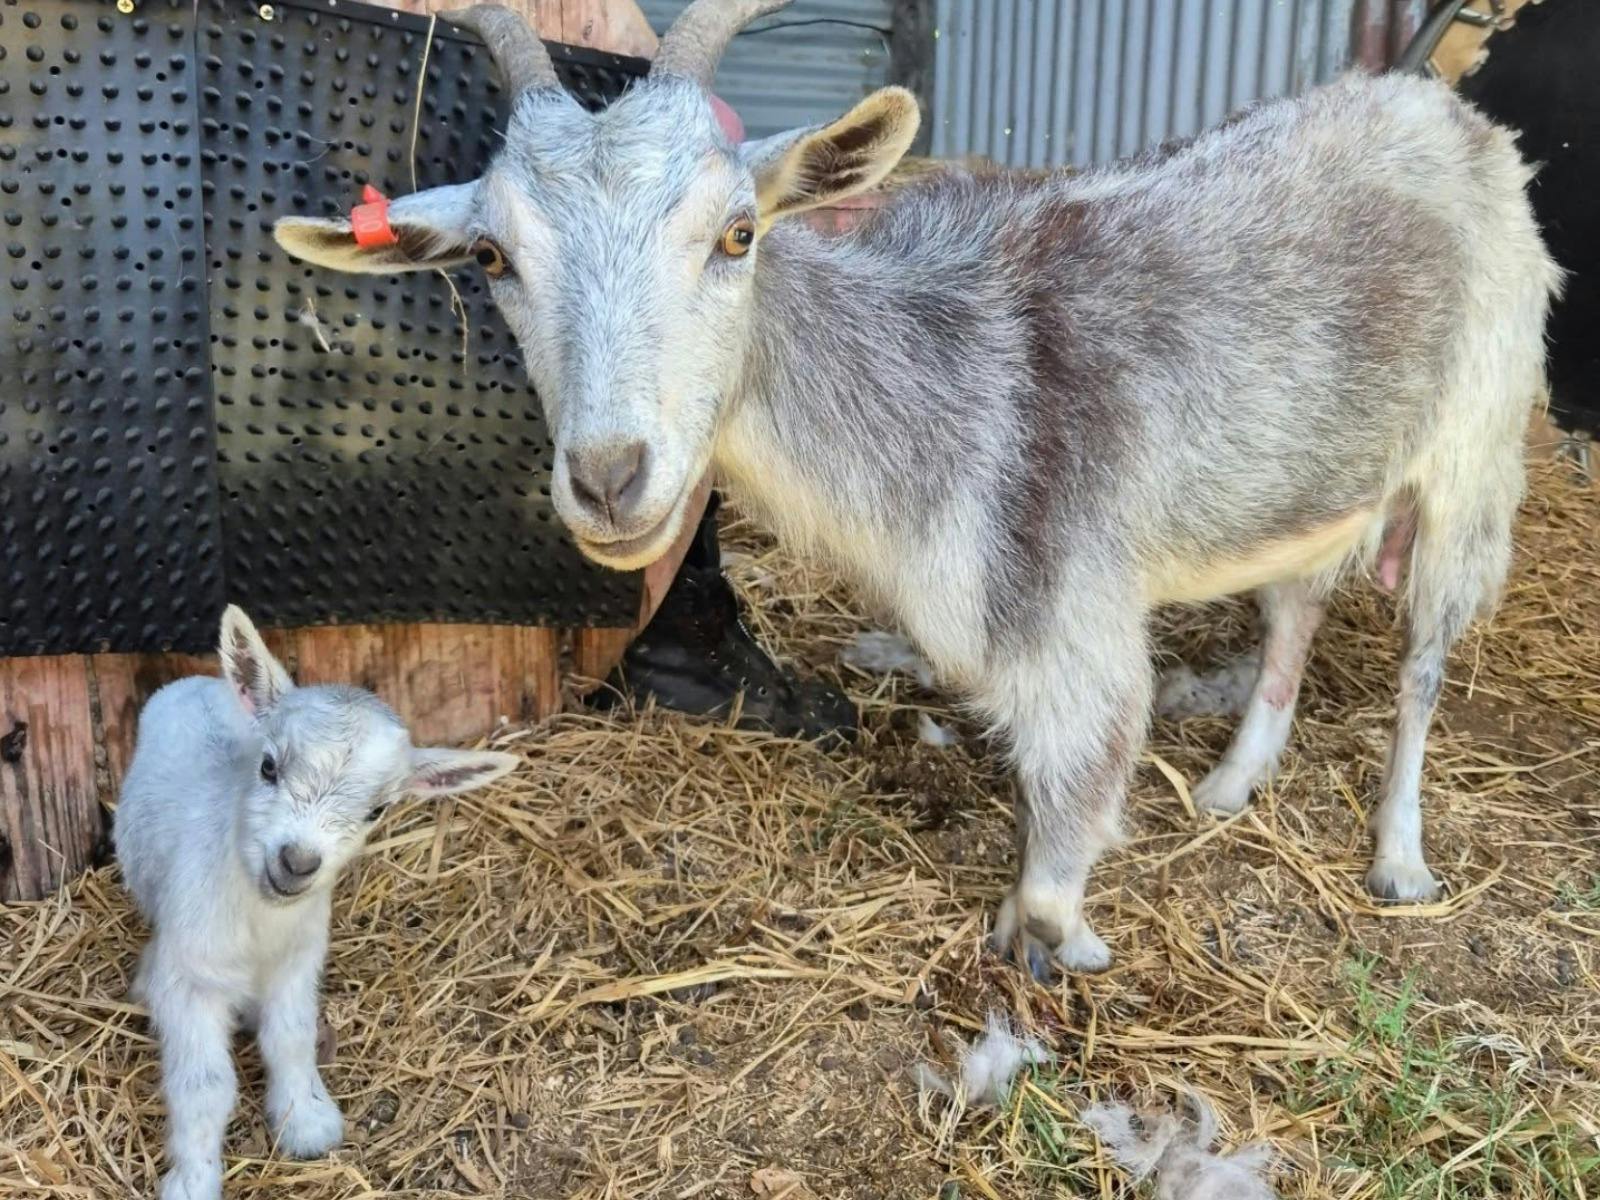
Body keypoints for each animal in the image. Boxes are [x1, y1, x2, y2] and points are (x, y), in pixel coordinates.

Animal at [113, 606, 518, 1200]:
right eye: (268, 767)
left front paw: (305, 1119)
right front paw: (193, 1179)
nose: (298, 861)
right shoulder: (191, 981)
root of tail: (193, 682)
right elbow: (204, 1085)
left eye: (377, 810)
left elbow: (291, 1038)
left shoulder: (297, 964)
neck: (260, 922)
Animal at [274, 0, 1557, 977]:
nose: (608, 477)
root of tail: (1449, 113)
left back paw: (1398, 857)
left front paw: (1054, 956)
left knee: (1423, 661)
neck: (938, 381)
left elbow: (1054, 862)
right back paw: (1233, 784)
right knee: (1297, 603)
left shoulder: (1078, 639)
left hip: (1476, 446)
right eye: (494, 256)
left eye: (737, 233)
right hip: (1323, 463)